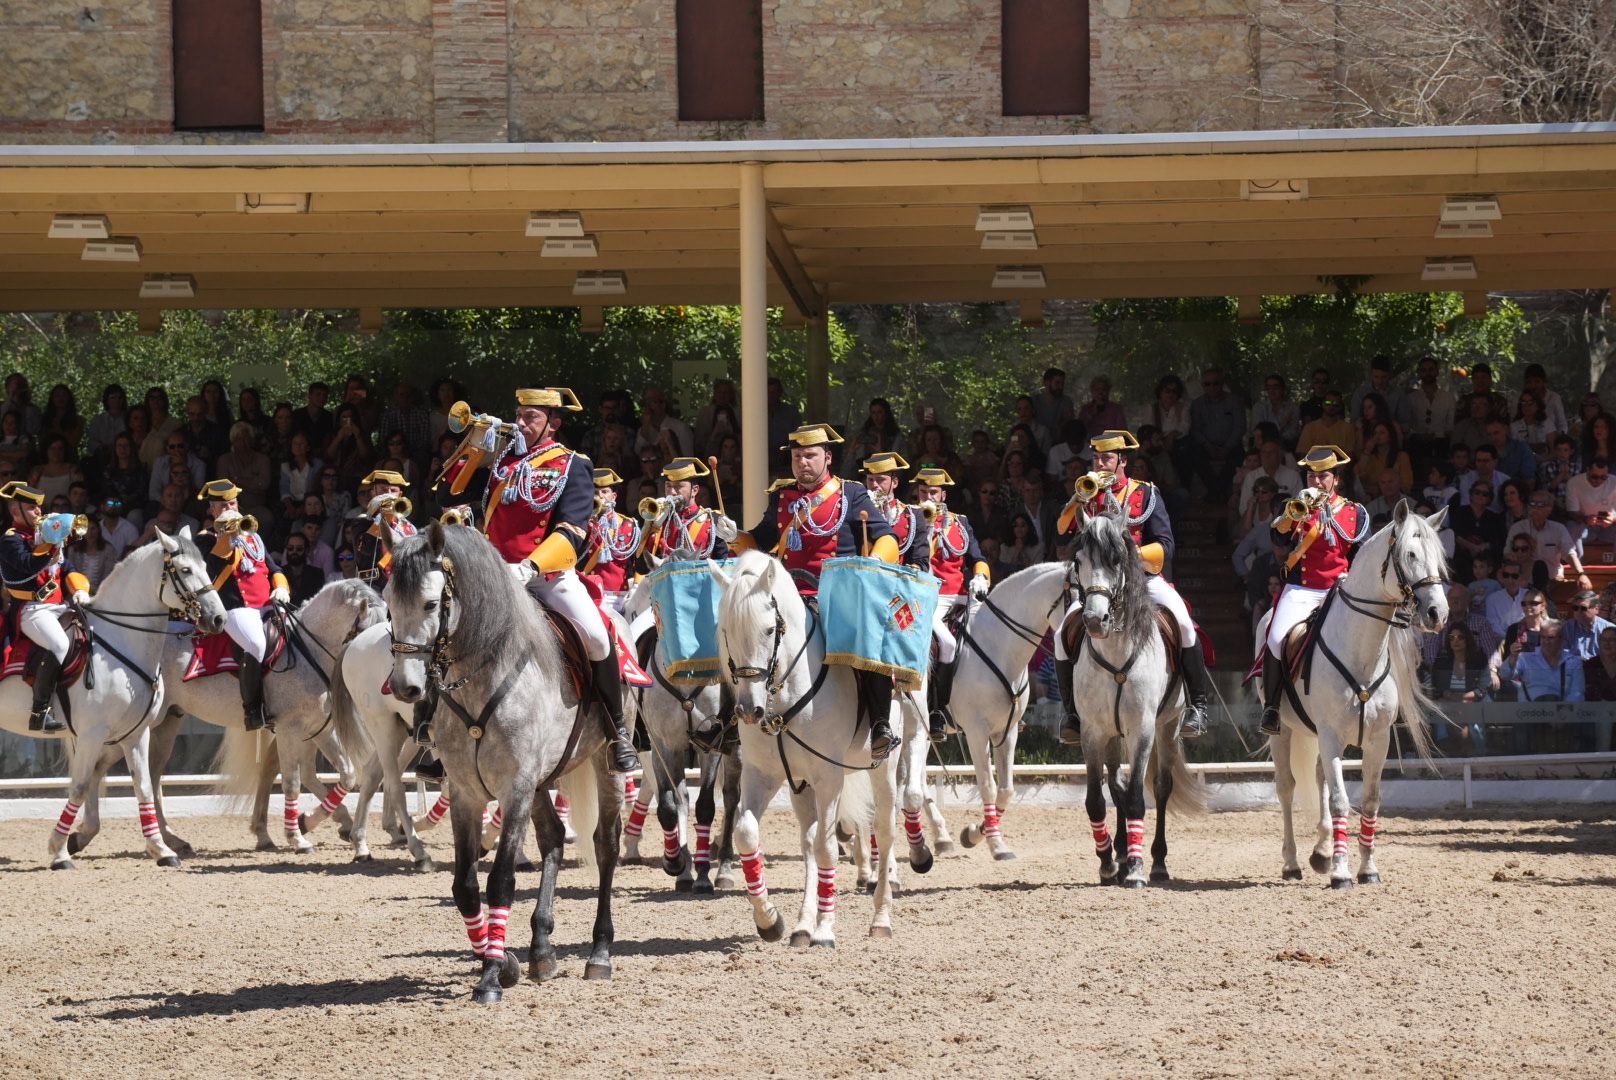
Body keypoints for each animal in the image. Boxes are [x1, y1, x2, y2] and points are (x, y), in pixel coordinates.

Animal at [0, 530, 227, 866]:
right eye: (185, 570)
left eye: (206, 567)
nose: (218, 619)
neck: (120, 643)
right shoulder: (92, 734)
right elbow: (79, 787)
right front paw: (59, 850)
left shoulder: (135, 733)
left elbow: (143, 786)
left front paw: (161, 849)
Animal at [717, 552, 904, 950]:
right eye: (726, 631)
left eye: (769, 630)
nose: (749, 711)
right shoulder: (762, 776)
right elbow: (747, 834)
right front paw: (770, 921)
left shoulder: (828, 777)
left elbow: (828, 847)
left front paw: (826, 930)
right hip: (799, 785)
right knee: (807, 841)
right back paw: (803, 925)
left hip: (883, 768)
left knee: (883, 831)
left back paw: (880, 919)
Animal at [1073, 514, 1202, 885]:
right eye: (1079, 561)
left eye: (1117, 560)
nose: (1094, 620)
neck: (1116, 651)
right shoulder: (1092, 732)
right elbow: (1096, 800)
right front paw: (1107, 862)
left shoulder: (1142, 729)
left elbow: (1135, 799)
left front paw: (1134, 869)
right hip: (1113, 735)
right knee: (1117, 783)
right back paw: (1118, 851)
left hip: (1168, 727)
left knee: (1160, 786)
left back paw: (1156, 862)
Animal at [1254, 501, 1447, 892]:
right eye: (1410, 554)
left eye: (1439, 557)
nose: (1438, 613)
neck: (1362, 651)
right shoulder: (1330, 735)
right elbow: (1342, 800)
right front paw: (1342, 873)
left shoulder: (1377, 740)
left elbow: (1369, 802)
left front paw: (1367, 869)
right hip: (1284, 731)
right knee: (1287, 788)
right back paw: (1293, 863)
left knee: (1319, 779)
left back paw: (1321, 852)